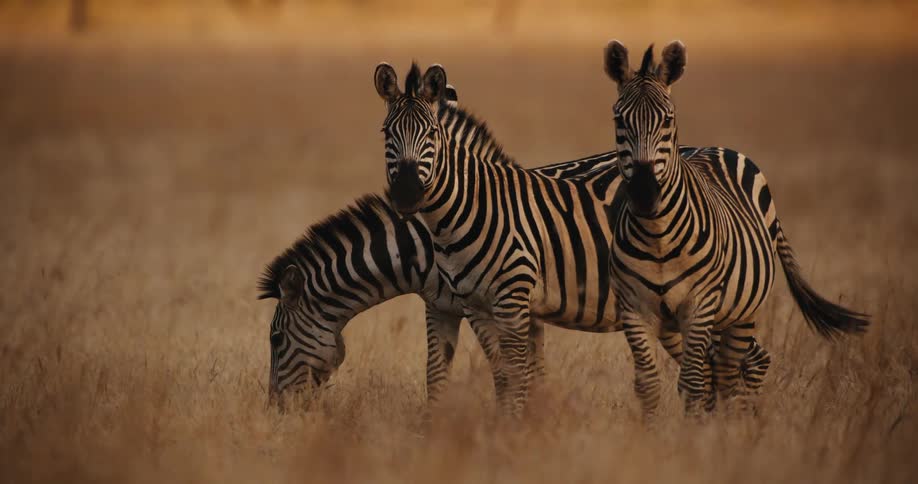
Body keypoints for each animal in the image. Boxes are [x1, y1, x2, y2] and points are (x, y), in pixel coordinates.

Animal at [602, 40, 869, 416]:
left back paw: (728, 426)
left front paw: (692, 432)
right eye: (618, 119)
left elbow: (692, 383)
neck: (658, 236)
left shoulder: (699, 305)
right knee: (719, 373)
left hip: (740, 313)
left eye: (668, 119)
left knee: (728, 375)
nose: (643, 193)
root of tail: (716, 147)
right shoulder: (634, 307)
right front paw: (652, 430)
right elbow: (648, 384)